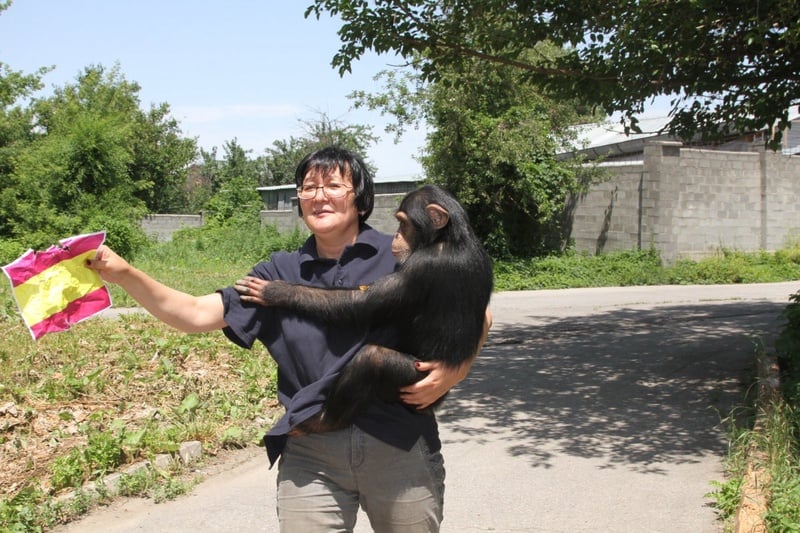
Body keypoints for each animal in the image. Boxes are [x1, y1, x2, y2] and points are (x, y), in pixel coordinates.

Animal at [238, 185, 490, 430]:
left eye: (404, 222)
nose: (397, 234)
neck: (448, 237)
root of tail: (437, 402)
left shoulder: (422, 265)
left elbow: (361, 304)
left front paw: (276, 291)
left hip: (416, 383)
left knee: (371, 360)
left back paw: (321, 421)